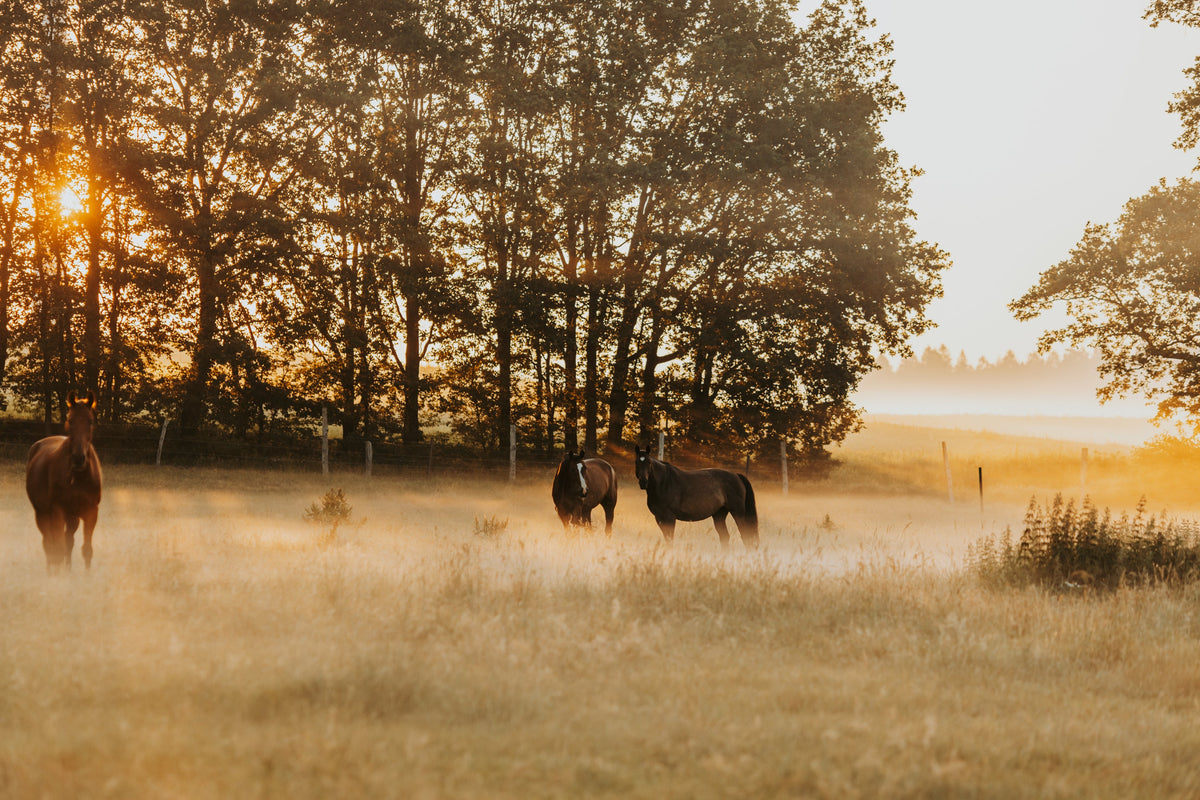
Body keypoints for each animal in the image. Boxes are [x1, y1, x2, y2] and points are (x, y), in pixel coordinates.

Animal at [26, 391, 103, 571]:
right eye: (70, 420)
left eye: (90, 421)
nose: (78, 459)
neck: (78, 477)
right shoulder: (57, 511)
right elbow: (57, 548)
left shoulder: (91, 512)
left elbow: (86, 549)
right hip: (43, 514)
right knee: (49, 544)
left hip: (71, 517)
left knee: (67, 541)